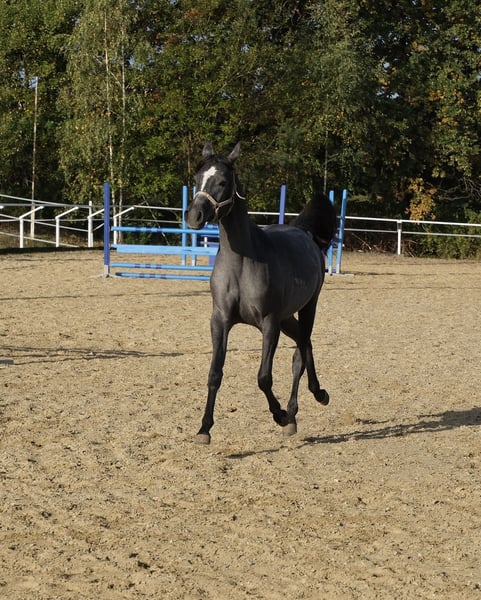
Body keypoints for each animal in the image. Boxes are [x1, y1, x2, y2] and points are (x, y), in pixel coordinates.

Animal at [185, 142, 337, 444]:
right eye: (197, 179)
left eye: (222, 181)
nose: (194, 217)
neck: (242, 262)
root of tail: (305, 233)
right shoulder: (220, 321)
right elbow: (214, 373)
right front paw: (204, 428)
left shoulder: (269, 324)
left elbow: (263, 378)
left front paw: (279, 415)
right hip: (287, 317)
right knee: (306, 345)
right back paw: (314, 397)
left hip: (308, 307)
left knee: (300, 354)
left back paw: (296, 412)